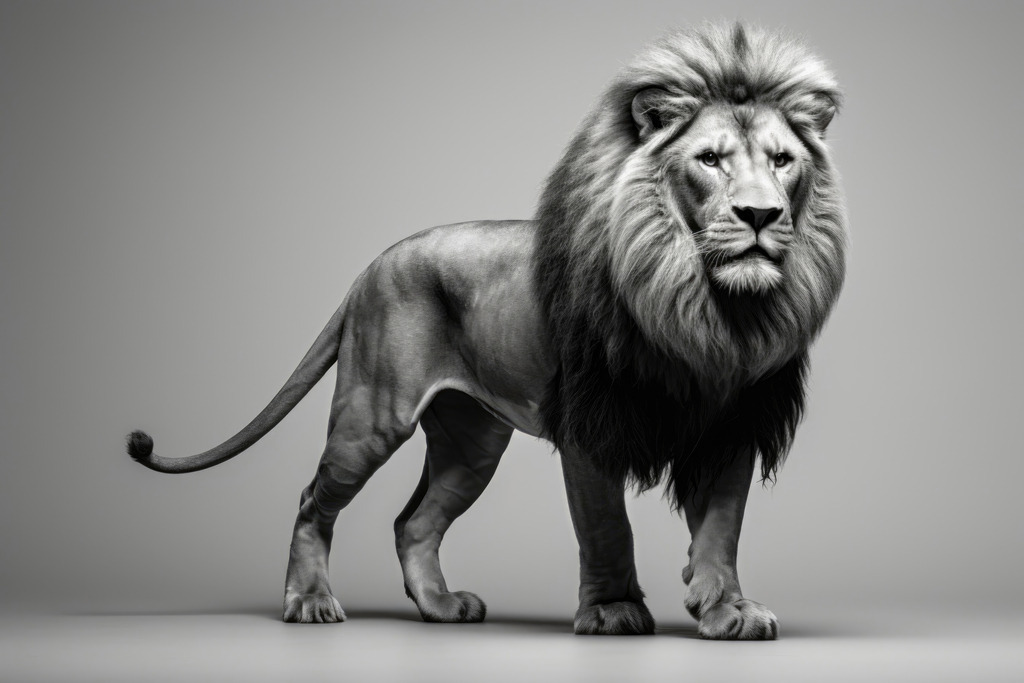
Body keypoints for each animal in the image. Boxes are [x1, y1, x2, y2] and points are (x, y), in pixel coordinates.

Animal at [128, 23, 846, 640]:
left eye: (782, 160)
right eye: (710, 160)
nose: (760, 214)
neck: (703, 304)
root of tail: (372, 265)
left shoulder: (732, 427)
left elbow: (722, 529)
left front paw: (728, 610)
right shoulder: (590, 425)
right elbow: (608, 526)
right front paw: (613, 611)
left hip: (471, 440)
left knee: (413, 522)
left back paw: (440, 606)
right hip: (373, 415)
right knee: (313, 499)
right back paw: (308, 601)